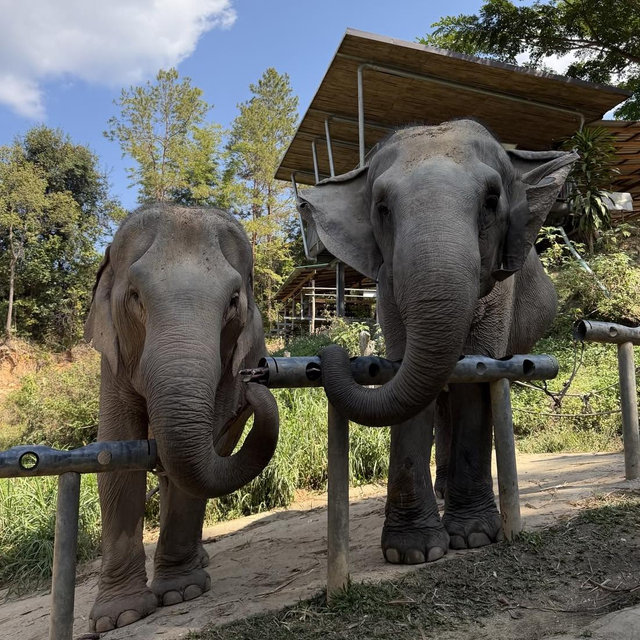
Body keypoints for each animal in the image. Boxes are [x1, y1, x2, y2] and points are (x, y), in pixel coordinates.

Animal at [84, 203, 278, 632]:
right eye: (134, 295)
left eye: (233, 301)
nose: (255, 376)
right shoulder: (113, 358)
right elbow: (116, 456)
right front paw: (118, 617)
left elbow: (203, 456)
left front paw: (179, 593)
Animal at [297, 119, 576, 564]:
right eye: (382, 208)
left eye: (492, 200)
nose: (329, 352)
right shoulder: (387, 288)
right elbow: (405, 377)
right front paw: (412, 552)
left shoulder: (501, 289)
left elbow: (476, 377)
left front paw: (474, 537)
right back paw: (444, 491)